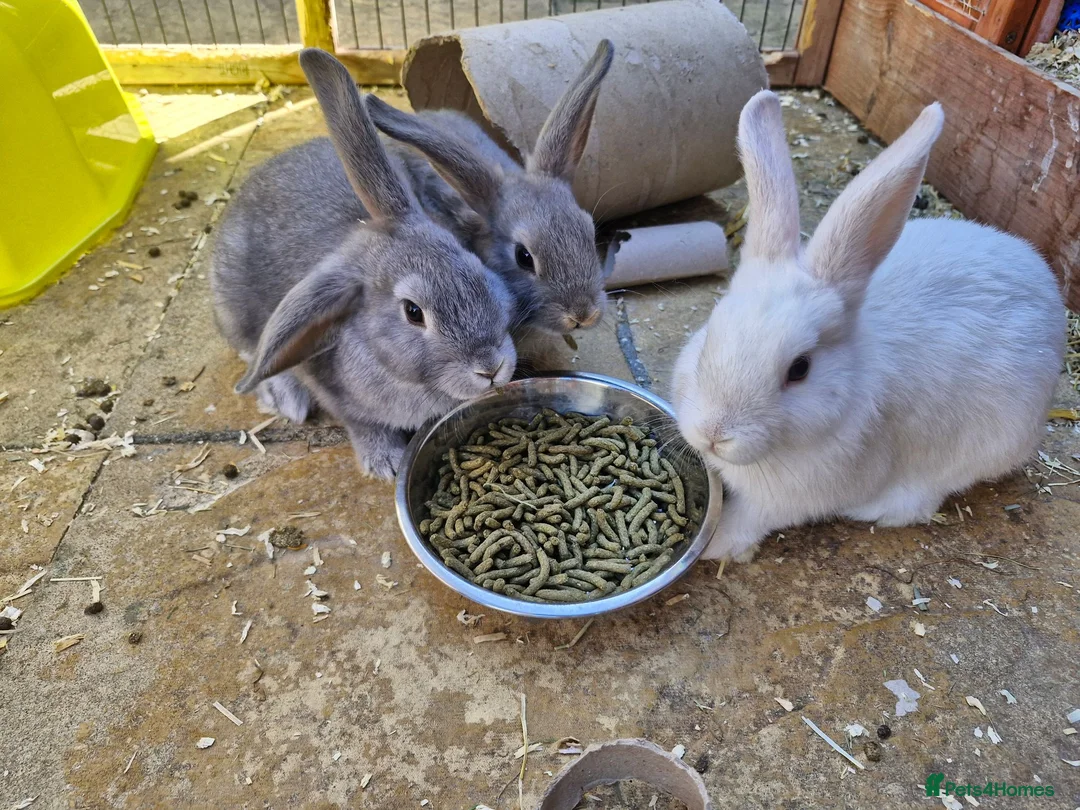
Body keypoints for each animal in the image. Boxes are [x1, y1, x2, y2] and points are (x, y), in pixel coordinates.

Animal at [210, 49, 517, 480]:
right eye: (412, 312)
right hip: (233, 309)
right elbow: (362, 424)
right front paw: (386, 464)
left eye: (472, 264)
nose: (490, 368)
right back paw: (287, 399)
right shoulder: (343, 401)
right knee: (254, 353)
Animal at [672, 90, 1064, 563]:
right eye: (710, 335)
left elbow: (751, 518)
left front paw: (716, 544)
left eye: (800, 369)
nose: (714, 435)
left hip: (987, 442)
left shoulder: (789, 498)